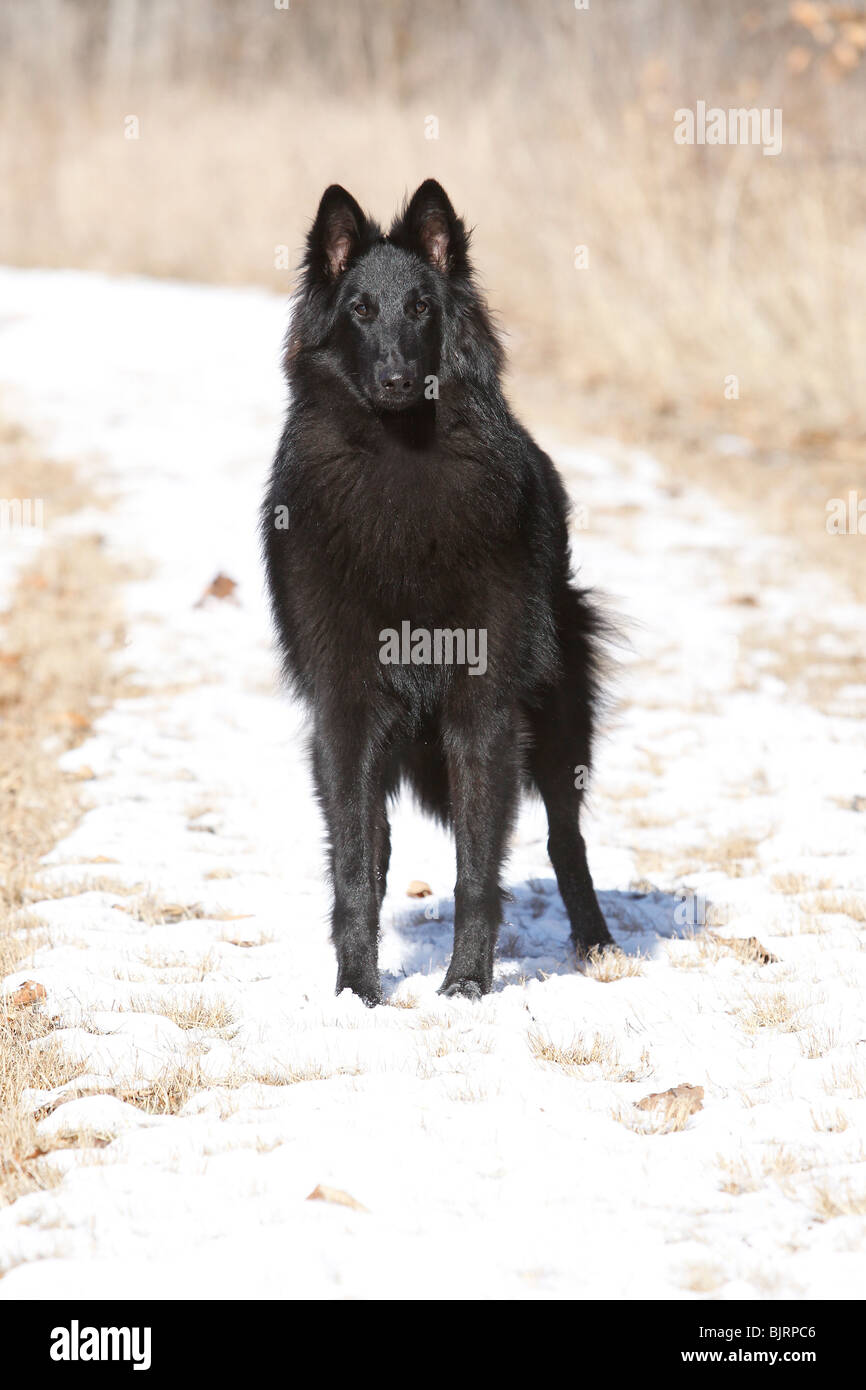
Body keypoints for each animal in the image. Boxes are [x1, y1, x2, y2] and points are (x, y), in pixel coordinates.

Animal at [261, 179, 614, 1006]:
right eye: (361, 309)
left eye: (421, 306)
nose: (396, 379)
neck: (398, 464)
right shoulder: (346, 711)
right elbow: (356, 868)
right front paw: (357, 992)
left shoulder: (481, 710)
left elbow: (476, 871)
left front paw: (466, 987)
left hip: (560, 723)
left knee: (566, 837)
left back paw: (596, 944)